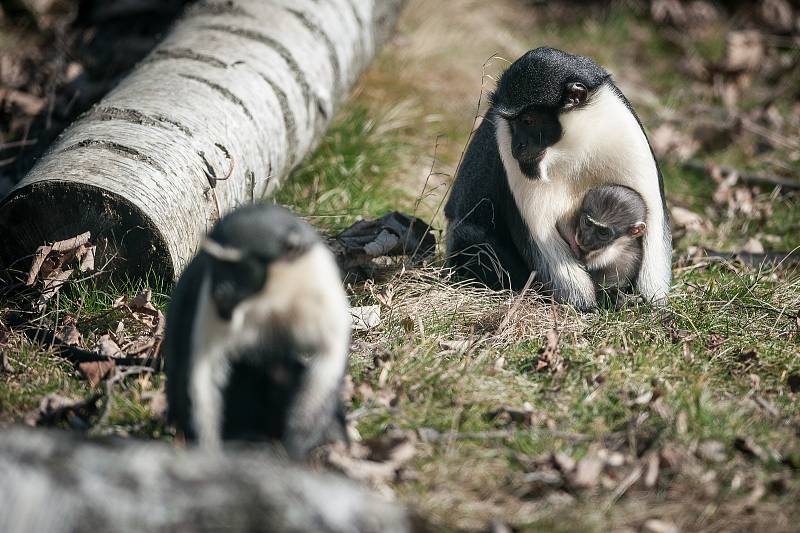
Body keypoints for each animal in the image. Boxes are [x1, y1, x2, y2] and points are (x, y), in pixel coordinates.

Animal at [163, 203, 350, 458]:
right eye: (215, 263)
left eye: (240, 267)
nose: (220, 292)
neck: (272, 298)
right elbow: (204, 370)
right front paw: (207, 450)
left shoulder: (318, 287)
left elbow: (327, 358)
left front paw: (297, 444)